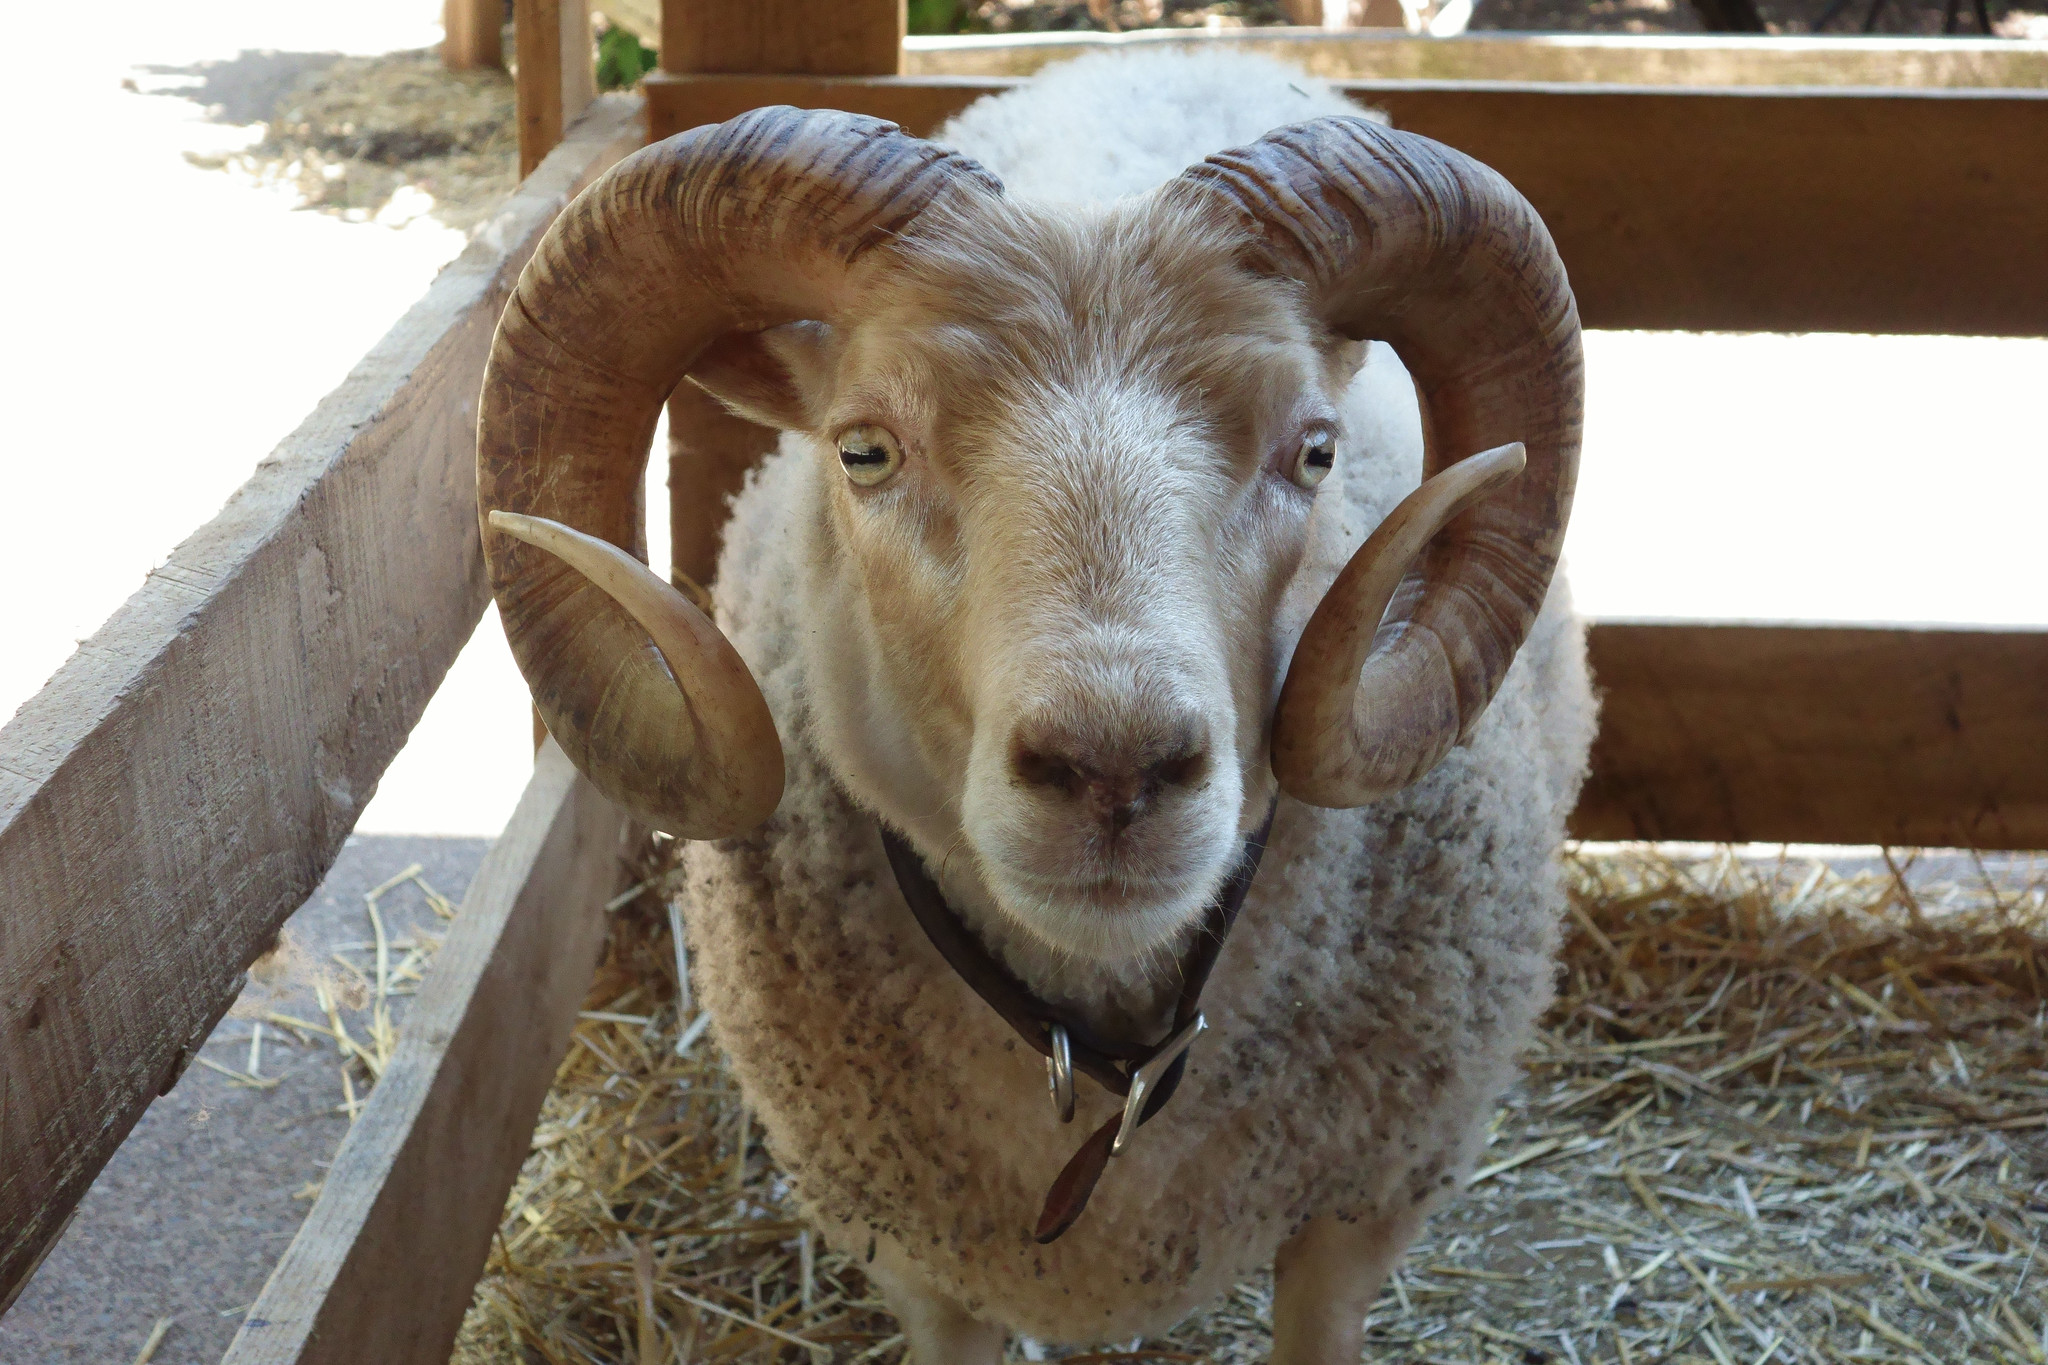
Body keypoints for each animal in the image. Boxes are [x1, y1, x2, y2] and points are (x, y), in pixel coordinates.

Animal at [475, 48, 1592, 1364]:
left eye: (1312, 453)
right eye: (863, 451)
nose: (1115, 770)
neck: (1092, 1022)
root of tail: (1163, 51)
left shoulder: (1360, 1207)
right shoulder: (916, 1254)